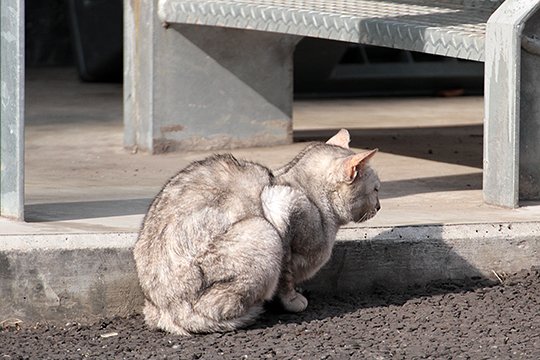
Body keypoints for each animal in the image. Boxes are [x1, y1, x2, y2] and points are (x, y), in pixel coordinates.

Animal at [133, 129, 380, 334]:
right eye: (377, 189)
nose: (379, 207)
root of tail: (167, 310)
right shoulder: (280, 205)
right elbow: (286, 276)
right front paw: (292, 300)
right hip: (263, 231)